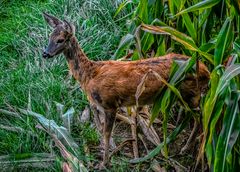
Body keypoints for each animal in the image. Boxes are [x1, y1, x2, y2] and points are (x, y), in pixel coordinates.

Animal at [42, 12, 209, 169]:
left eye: (60, 40)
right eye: (49, 37)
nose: (45, 54)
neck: (89, 75)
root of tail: (207, 71)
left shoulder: (110, 103)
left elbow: (106, 133)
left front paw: (104, 163)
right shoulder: (97, 105)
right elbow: (100, 129)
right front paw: (104, 154)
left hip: (188, 92)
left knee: (200, 116)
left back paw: (186, 148)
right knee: (196, 116)